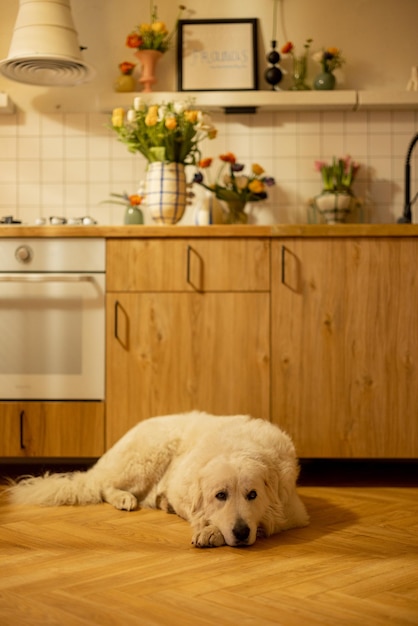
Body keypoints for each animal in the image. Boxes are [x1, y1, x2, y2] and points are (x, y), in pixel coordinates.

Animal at [6, 410, 308, 544]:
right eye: (220, 495)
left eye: (252, 495)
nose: (242, 533)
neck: (235, 446)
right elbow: (204, 515)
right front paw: (210, 530)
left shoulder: (291, 512)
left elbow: (267, 520)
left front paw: (212, 531)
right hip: (146, 458)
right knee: (103, 486)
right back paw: (125, 499)